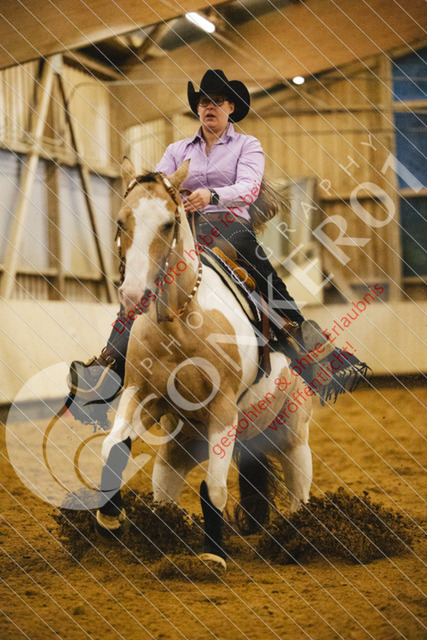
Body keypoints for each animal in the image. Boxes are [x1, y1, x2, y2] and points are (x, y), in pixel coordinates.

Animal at [96, 158, 312, 569]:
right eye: (121, 220)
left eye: (168, 223)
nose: (133, 294)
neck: (179, 323)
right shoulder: (142, 394)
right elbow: (113, 445)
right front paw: (109, 517)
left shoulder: (223, 411)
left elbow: (213, 488)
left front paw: (213, 554)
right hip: (182, 442)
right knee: (165, 482)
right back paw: (164, 533)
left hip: (293, 436)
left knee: (298, 491)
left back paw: (295, 542)